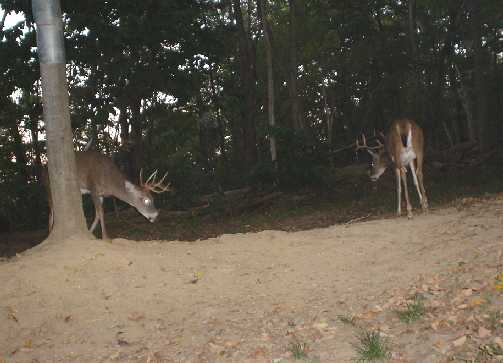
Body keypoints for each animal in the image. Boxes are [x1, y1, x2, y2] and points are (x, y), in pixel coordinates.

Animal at [41, 149, 171, 240]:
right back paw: (49, 233)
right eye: (145, 200)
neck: (110, 183)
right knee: (51, 211)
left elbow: (98, 214)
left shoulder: (101, 195)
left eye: (153, 198)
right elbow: (100, 213)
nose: (155, 215)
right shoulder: (93, 188)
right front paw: (105, 237)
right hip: (48, 186)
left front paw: (90, 233)